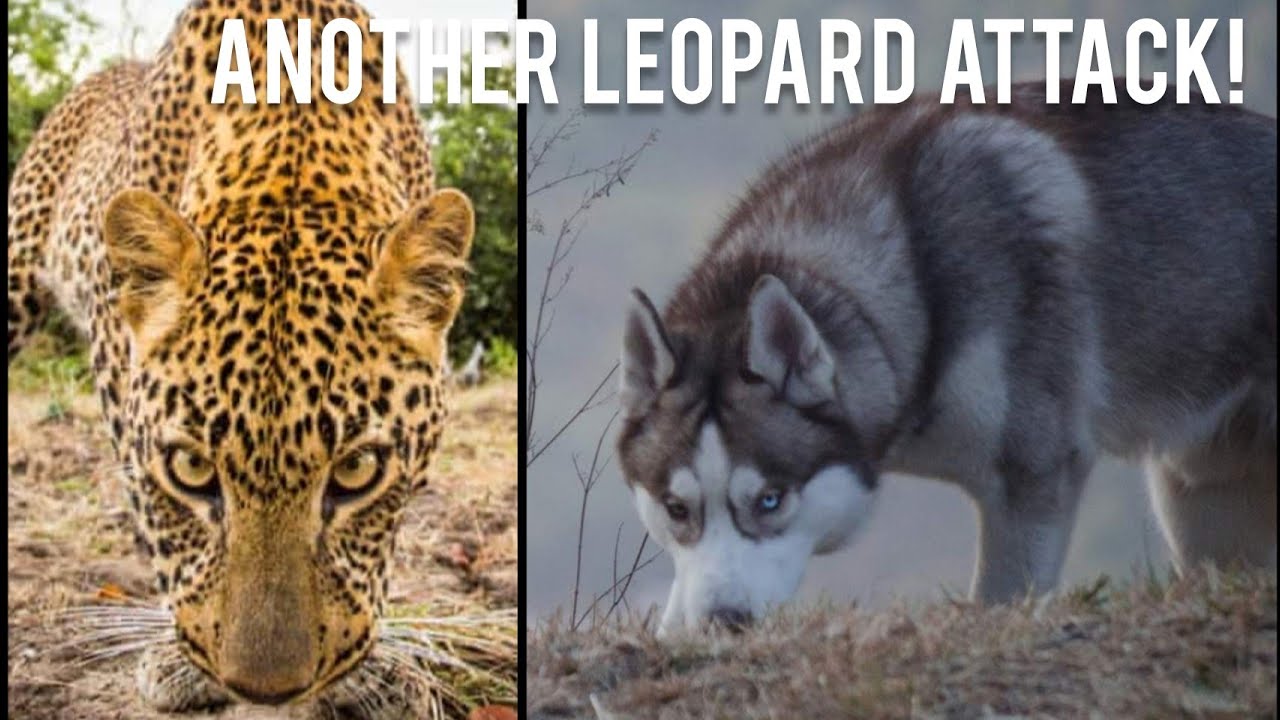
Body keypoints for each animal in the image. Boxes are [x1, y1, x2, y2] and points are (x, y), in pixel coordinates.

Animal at [6, 0, 478, 715]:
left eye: (358, 471)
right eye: (192, 470)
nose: (266, 691)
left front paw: (372, 675)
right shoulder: (119, 364)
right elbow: (156, 523)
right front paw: (178, 660)